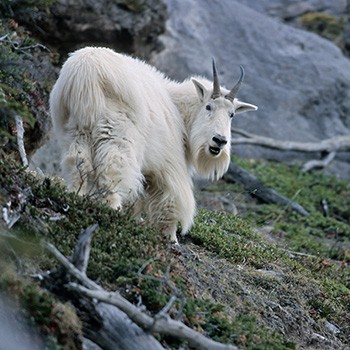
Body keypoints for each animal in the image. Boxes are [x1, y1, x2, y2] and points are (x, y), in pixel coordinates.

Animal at [50, 46, 258, 243]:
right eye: (208, 107)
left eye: (232, 114)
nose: (219, 141)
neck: (180, 111)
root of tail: (85, 72)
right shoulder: (169, 164)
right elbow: (170, 199)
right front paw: (171, 237)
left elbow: (139, 199)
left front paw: (135, 220)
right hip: (115, 132)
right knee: (112, 170)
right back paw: (112, 209)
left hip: (76, 130)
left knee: (78, 165)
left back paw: (77, 197)